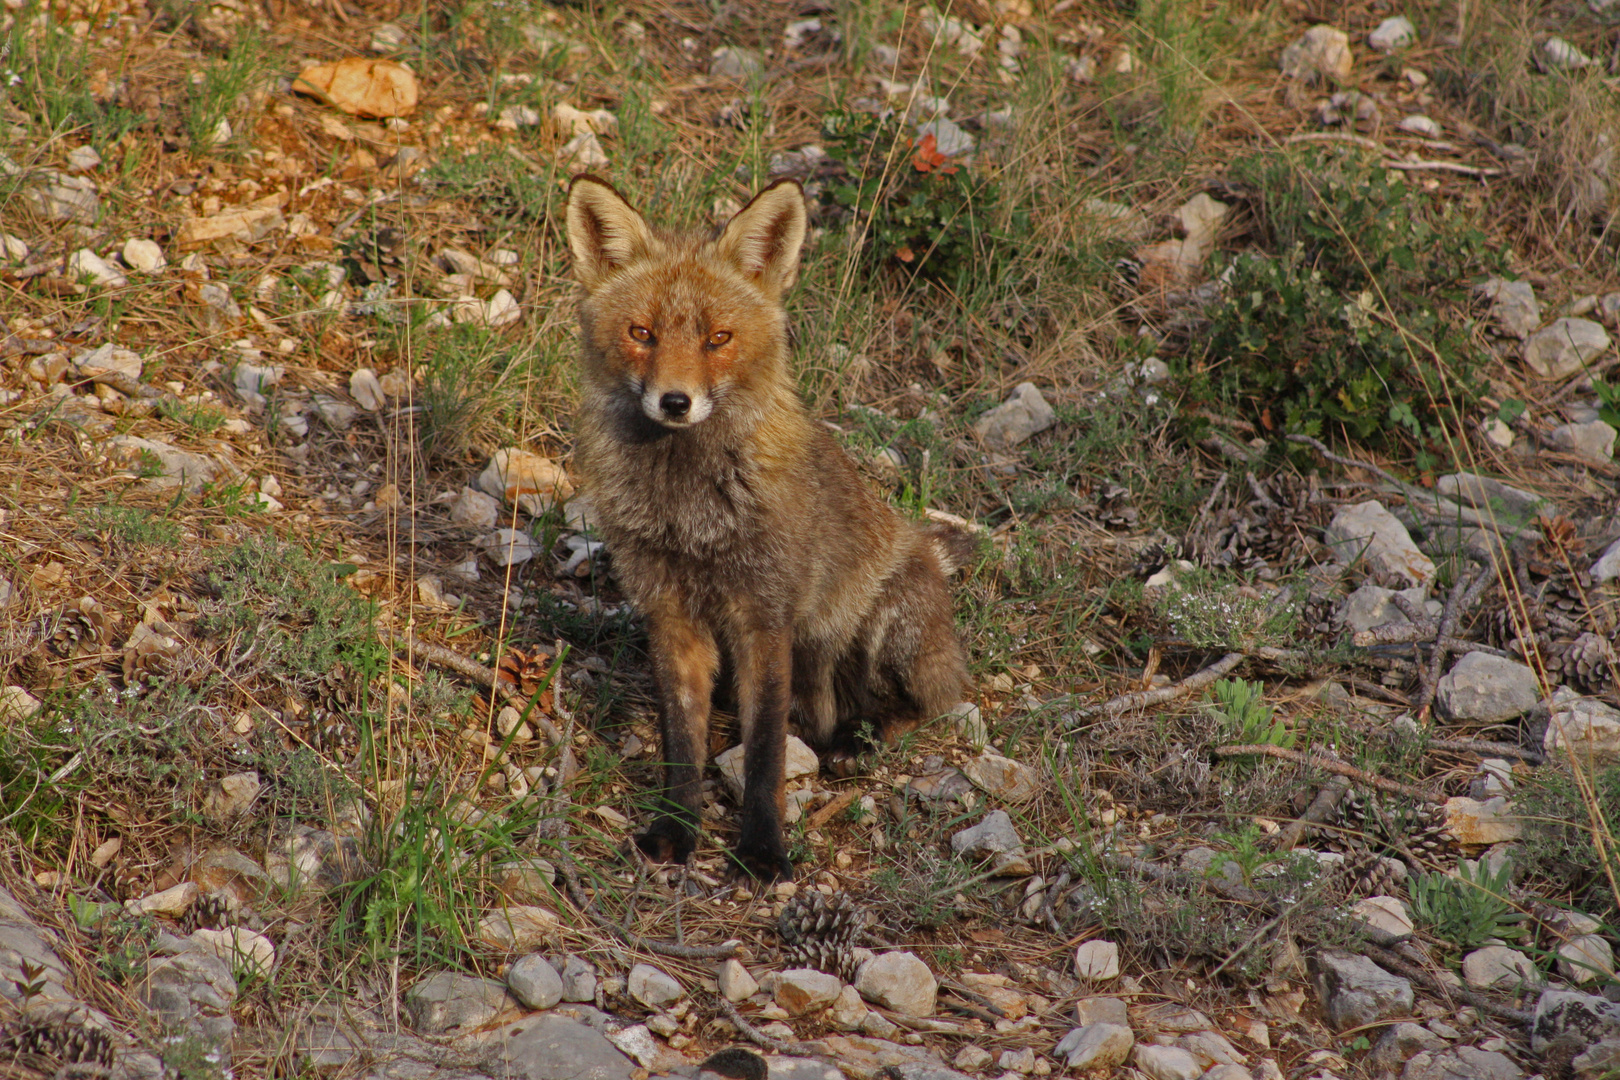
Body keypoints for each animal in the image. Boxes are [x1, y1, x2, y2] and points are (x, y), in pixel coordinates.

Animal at [570, 170, 972, 880]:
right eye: (642, 334)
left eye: (718, 339)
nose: (676, 401)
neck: (691, 517)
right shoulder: (671, 615)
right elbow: (681, 744)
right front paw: (676, 830)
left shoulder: (766, 615)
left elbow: (764, 754)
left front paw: (762, 850)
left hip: (881, 633)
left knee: (930, 703)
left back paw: (861, 741)